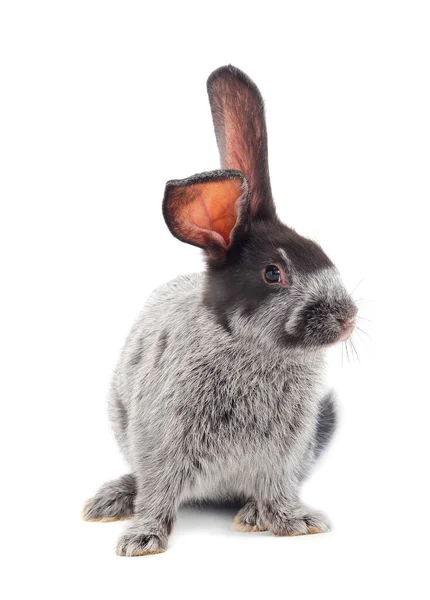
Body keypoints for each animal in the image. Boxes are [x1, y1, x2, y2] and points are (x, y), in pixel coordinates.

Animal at [82, 63, 358, 556]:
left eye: (321, 252)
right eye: (273, 273)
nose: (348, 319)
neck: (250, 348)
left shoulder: (283, 455)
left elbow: (277, 490)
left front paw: (294, 522)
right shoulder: (162, 441)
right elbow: (158, 493)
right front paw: (142, 540)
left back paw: (250, 515)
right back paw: (110, 500)